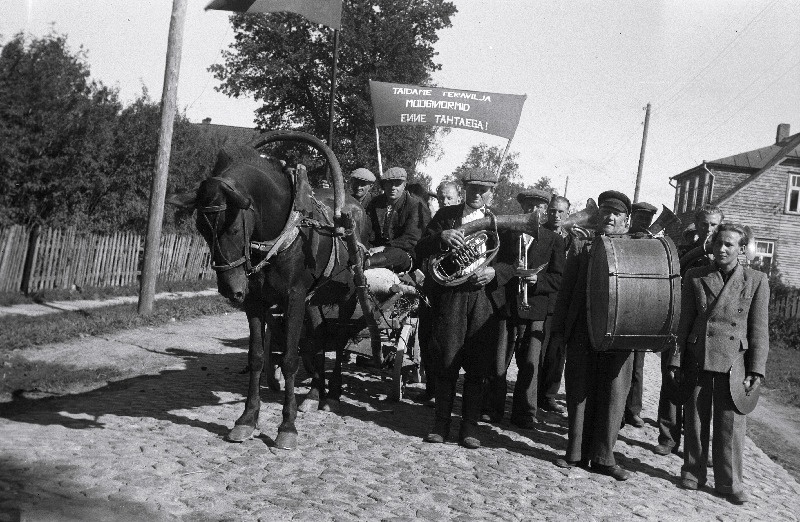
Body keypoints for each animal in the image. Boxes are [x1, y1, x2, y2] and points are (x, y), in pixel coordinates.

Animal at [168, 130, 378, 446]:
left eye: (232, 228)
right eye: (203, 230)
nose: (231, 289)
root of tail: (355, 206)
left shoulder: (294, 298)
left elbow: (290, 358)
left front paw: (287, 426)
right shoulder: (256, 301)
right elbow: (256, 357)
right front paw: (247, 418)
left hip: (349, 295)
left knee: (339, 341)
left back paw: (333, 394)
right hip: (314, 300)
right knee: (316, 341)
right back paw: (315, 392)